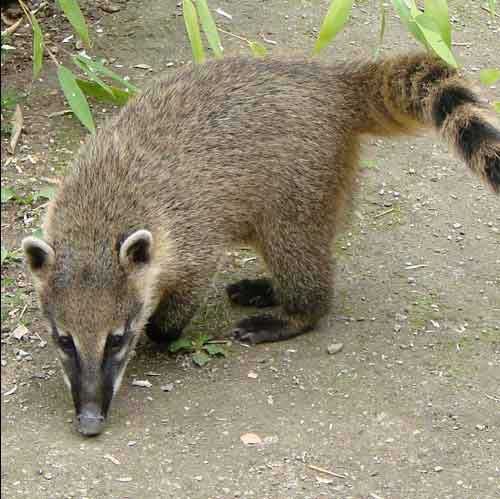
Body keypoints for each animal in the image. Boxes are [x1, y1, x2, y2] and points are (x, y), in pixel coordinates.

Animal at [22, 53, 500, 436]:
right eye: (64, 340)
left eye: (116, 339)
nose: (89, 422)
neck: (97, 220)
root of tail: (332, 81)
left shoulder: (190, 233)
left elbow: (188, 287)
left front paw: (161, 328)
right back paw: (270, 287)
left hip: (299, 181)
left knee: (297, 249)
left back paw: (297, 310)